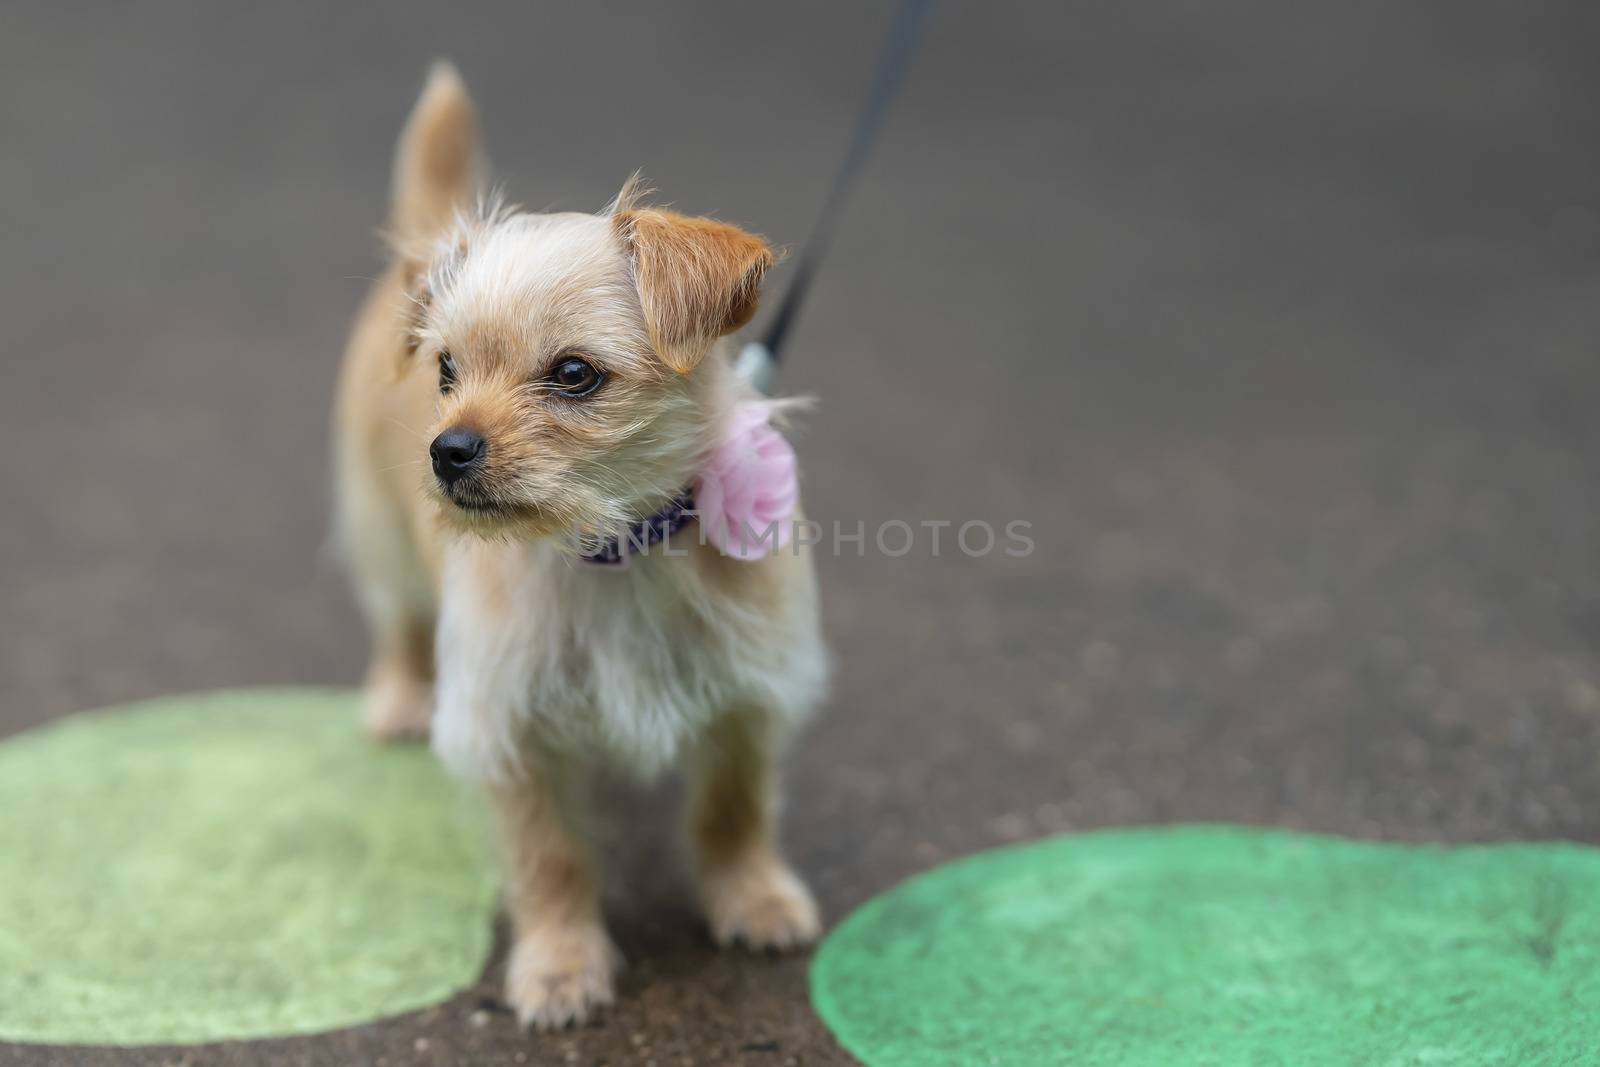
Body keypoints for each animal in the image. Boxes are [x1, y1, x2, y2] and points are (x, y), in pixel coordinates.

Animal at [326, 64, 825, 1023]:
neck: (613, 549)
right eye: (446, 370)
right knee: (399, 623)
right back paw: (400, 697)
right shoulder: (511, 724)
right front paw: (560, 964)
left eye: (573, 374)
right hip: (380, 536)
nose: (447, 450)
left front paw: (753, 897)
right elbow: (549, 856)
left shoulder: (746, 692)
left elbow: (734, 809)